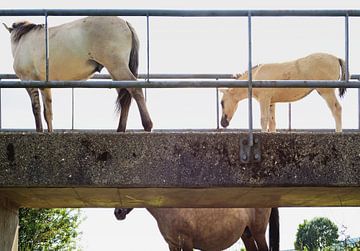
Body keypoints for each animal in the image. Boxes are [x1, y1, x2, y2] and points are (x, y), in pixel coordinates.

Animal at [4, 16, 153, 132]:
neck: (22, 41)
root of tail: (125, 23)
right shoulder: (45, 85)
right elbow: (48, 112)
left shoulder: (28, 81)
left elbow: (36, 109)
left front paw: (40, 131)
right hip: (116, 71)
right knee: (125, 97)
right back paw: (121, 129)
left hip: (117, 67)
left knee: (136, 90)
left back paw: (147, 125)